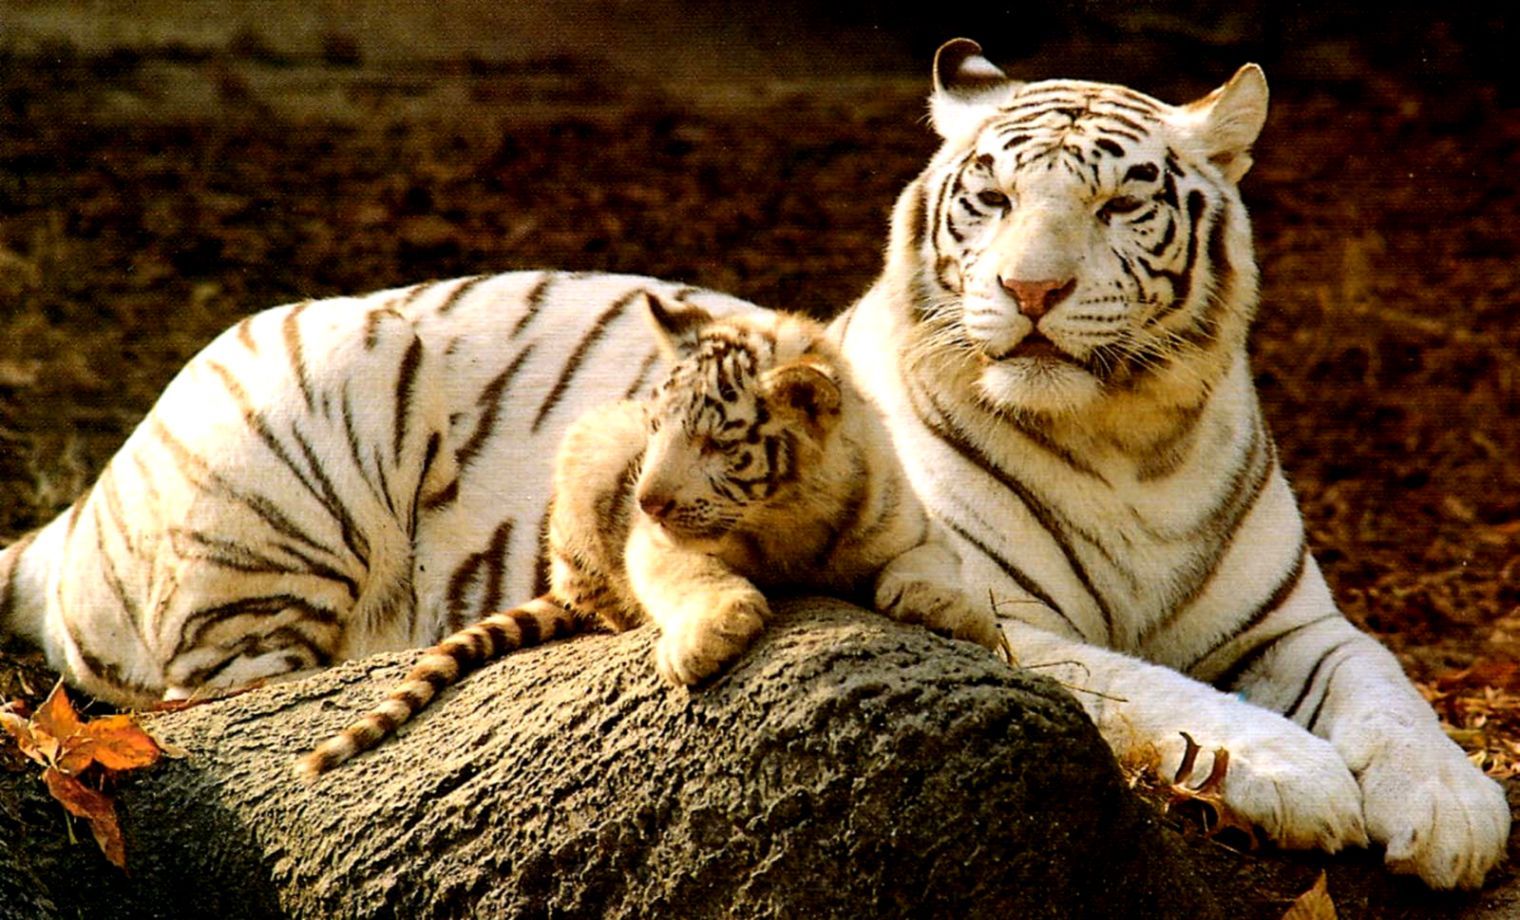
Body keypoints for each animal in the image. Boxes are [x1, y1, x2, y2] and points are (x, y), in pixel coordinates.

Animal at [294, 294, 1002, 778]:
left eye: (716, 443)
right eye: (660, 427)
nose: (647, 499)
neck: (787, 517)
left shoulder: (908, 523)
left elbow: (932, 566)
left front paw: (958, 613)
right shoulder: (656, 542)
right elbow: (694, 576)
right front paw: (707, 639)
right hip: (590, 447)